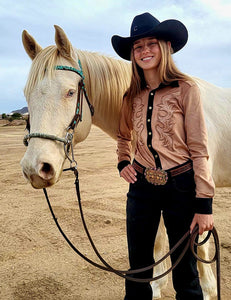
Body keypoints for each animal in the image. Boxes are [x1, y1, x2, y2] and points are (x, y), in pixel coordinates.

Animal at [20, 24, 231, 298]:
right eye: (26, 94)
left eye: (70, 92)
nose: (35, 168)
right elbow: (159, 238)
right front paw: (155, 286)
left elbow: (200, 247)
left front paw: (209, 291)